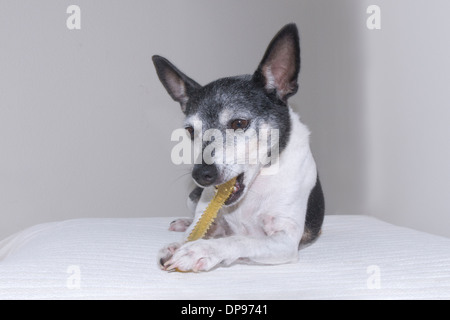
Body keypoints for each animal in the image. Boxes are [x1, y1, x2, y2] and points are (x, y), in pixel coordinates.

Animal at [154, 23, 324, 272]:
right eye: (190, 131)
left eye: (239, 123)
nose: (201, 174)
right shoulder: (210, 216)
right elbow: (197, 230)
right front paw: (179, 244)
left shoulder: (284, 241)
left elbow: (239, 240)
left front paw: (200, 250)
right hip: (193, 196)